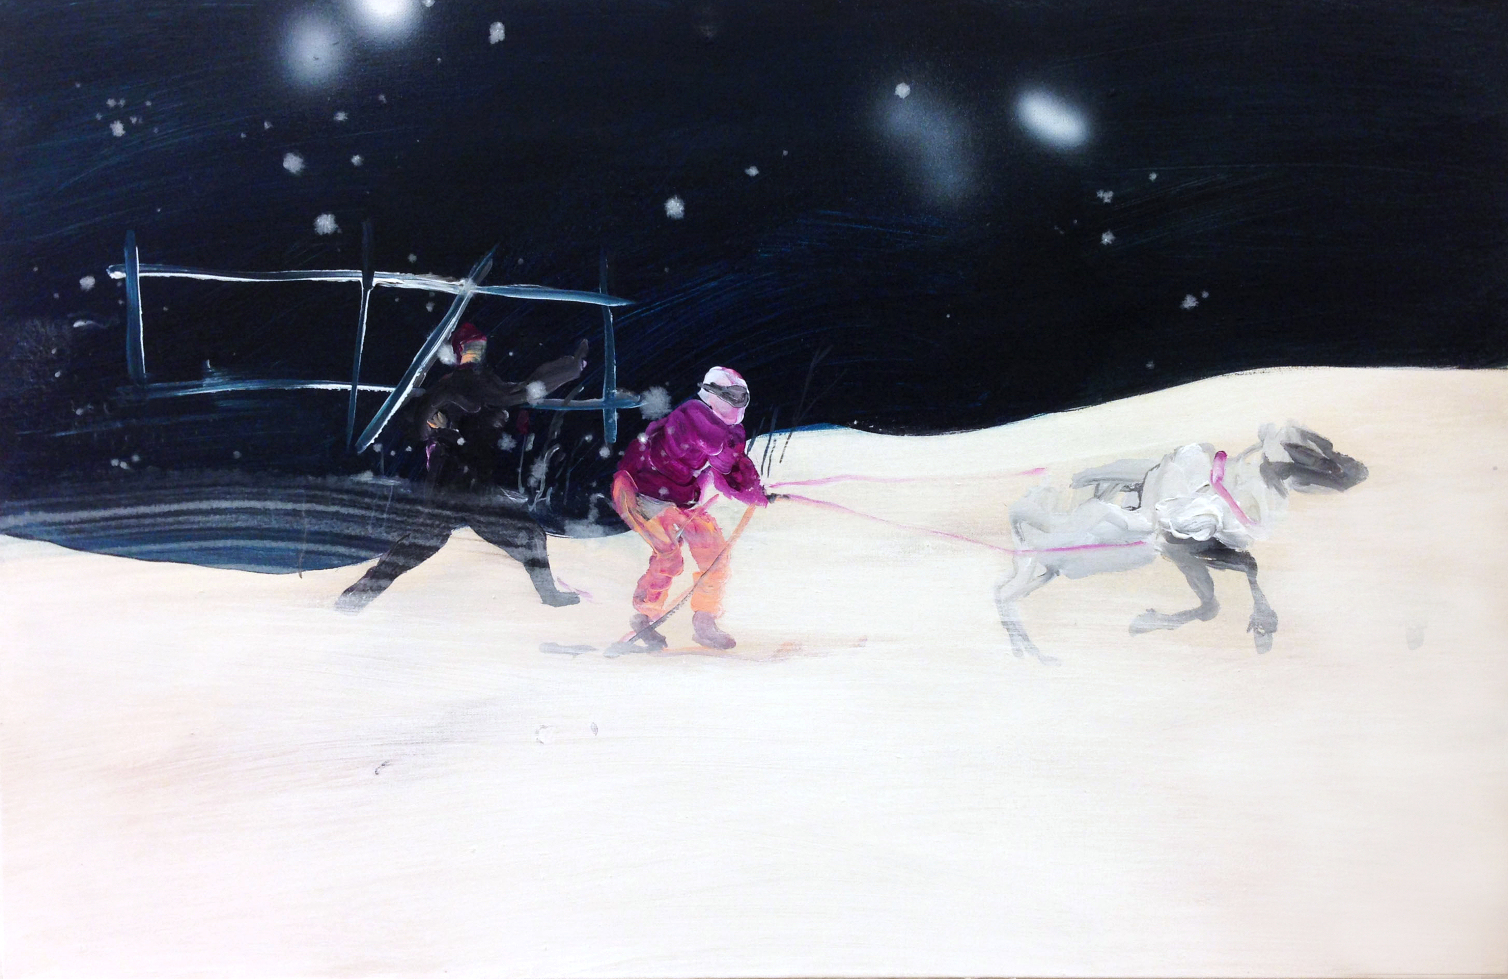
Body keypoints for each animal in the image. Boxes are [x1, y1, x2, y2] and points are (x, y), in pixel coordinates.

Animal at [994, 423, 1368, 662]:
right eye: (1306, 452)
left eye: (1326, 445)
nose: (1360, 470)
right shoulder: (1178, 545)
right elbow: (1219, 593)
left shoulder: (1194, 548)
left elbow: (1235, 577)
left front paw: (1264, 627)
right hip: (1039, 560)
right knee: (1005, 591)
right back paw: (1031, 653)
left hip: (1045, 571)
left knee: (1004, 591)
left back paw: (1028, 652)